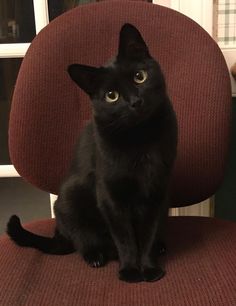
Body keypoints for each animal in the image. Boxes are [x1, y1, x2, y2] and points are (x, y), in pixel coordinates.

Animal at [6, 23, 177, 282]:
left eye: (140, 77)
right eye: (111, 95)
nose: (135, 102)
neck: (140, 139)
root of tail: (58, 234)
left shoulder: (157, 192)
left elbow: (148, 234)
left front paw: (149, 268)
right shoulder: (110, 196)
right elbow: (125, 239)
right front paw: (130, 270)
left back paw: (160, 247)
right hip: (70, 200)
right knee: (81, 240)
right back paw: (95, 256)